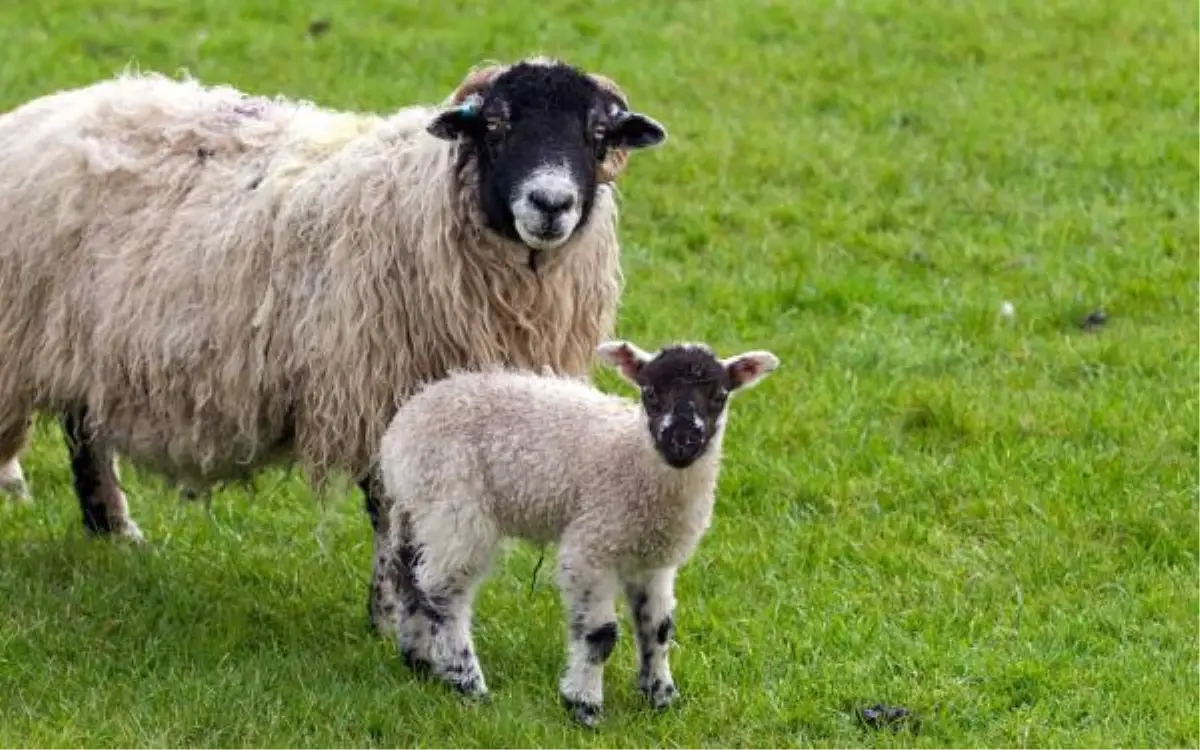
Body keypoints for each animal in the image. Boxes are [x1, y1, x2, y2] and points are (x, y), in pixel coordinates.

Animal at [0, 54, 667, 633]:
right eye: (497, 125)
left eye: (597, 132)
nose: (550, 203)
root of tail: (44, 112)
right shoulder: (381, 391)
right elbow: (390, 513)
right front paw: (393, 618)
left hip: (82, 342)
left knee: (83, 429)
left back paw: (112, 530)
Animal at [379, 338, 782, 724]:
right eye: (650, 393)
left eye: (719, 395)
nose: (681, 441)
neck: (632, 459)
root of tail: (400, 429)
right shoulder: (592, 544)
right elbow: (600, 635)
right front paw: (584, 705)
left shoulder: (654, 560)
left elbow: (659, 628)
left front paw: (661, 697)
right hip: (455, 506)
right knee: (444, 591)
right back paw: (467, 681)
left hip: (419, 509)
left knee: (407, 574)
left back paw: (419, 659)